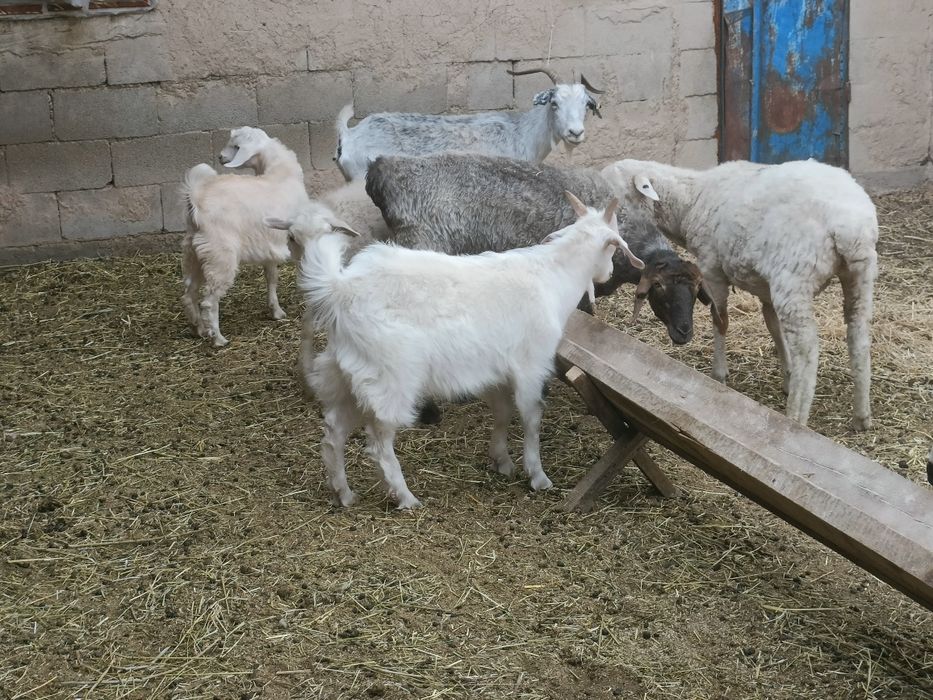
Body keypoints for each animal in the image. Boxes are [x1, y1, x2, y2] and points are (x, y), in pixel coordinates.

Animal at [268, 193, 643, 508]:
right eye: (613, 247)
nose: (608, 272)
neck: (553, 277)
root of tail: (340, 289)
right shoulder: (531, 366)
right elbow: (531, 417)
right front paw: (537, 475)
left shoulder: (495, 371)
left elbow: (502, 413)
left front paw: (501, 461)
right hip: (390, 377)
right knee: (378, 442)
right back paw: (405, 497)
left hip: (345, 372)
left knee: (333, 433)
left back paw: (344, 493)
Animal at [603, 158, 879, 430]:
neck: (691, 202)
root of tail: (850, 227)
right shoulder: (766, 288)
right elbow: (773, 326)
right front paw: (787, 377)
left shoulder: (711, 269)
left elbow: (720, 319)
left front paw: (719, 374)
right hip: (859, 275)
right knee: (858, 336)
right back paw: (861, 415)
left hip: (794, 278)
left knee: (807, 349)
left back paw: (795, 418)